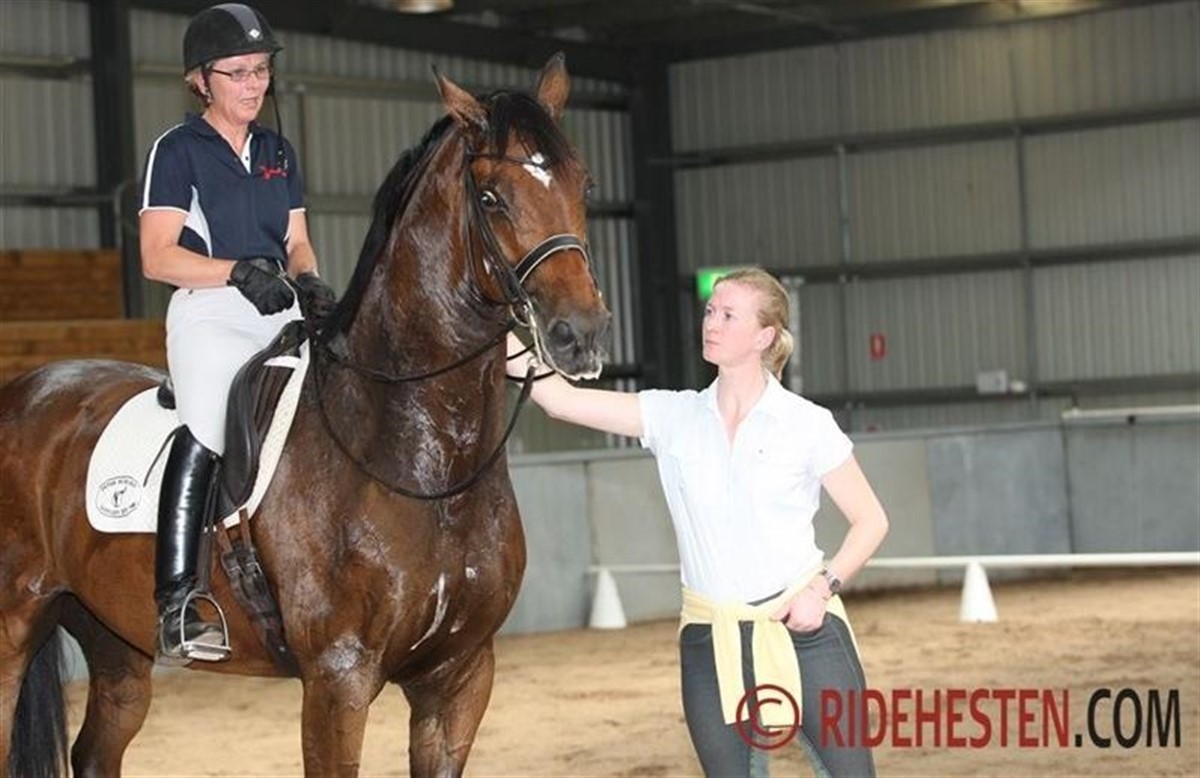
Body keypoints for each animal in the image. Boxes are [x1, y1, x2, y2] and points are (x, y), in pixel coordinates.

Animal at [0, 54, 610, 777]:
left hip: (113, 636)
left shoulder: (460, 675)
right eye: (490, 198)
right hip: (13, 628)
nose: (580, 335)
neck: (424, 458)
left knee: (97, 750)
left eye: (583, 183)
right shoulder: (337, 679)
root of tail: (25, 391)